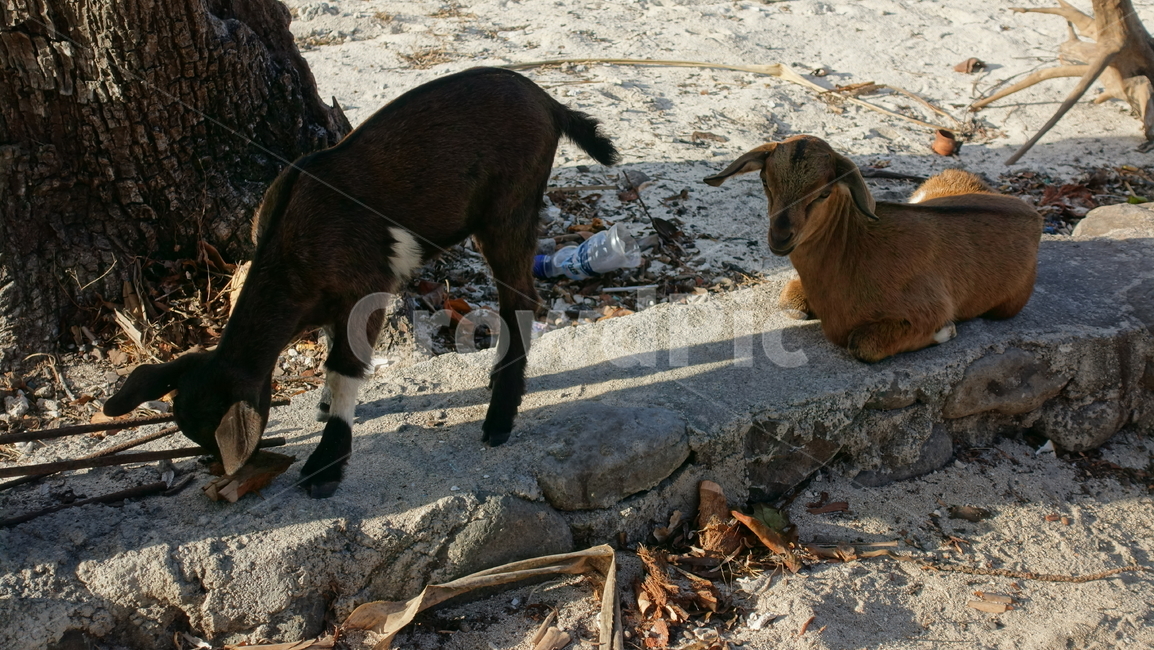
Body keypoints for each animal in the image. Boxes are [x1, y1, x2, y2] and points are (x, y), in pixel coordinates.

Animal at [103, 67, 620, 498]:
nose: (217, 470)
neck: (289, 252)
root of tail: (548, 101)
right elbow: (334, 348)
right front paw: (322, 408)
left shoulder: (366, 287)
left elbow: (344, 365)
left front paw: (326, 463)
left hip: (509, 206)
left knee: (520, 300)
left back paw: (499, 418)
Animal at [703, 135, 1041, 363]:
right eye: (764, 179)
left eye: (824, 193)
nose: (781, 237)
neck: (854, 250)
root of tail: (1033, 215)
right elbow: (790, 303)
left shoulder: (929, 307)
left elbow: (862, 346)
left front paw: (946, 332)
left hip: (1008, 305)